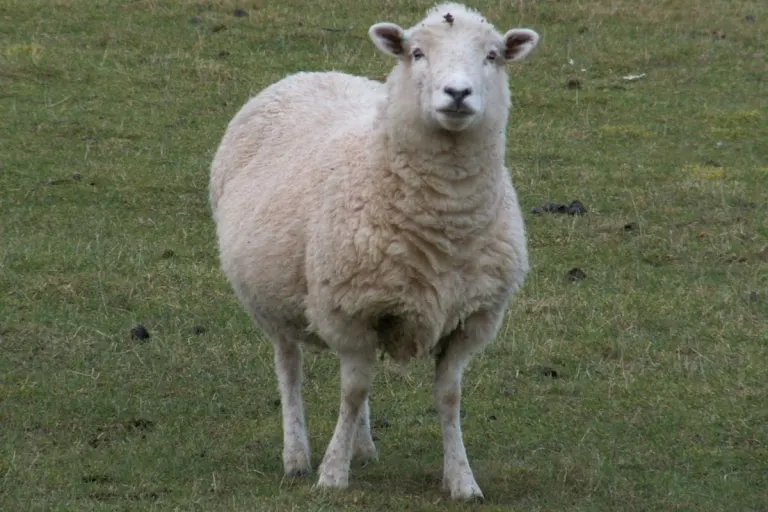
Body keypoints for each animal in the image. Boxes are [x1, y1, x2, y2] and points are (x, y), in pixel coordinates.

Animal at [209, 2, 539, 501]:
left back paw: (362, 448)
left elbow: (447, 397)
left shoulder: (469, 319)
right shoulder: (348, 310)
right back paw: (297, 456)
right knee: (290, 369)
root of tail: (312, 72)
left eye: (493, 55)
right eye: (417, 53)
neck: (445, 222)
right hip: (273, 301)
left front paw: (462, 480)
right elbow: (351, 393)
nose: (457, 93)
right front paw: (331, 474)